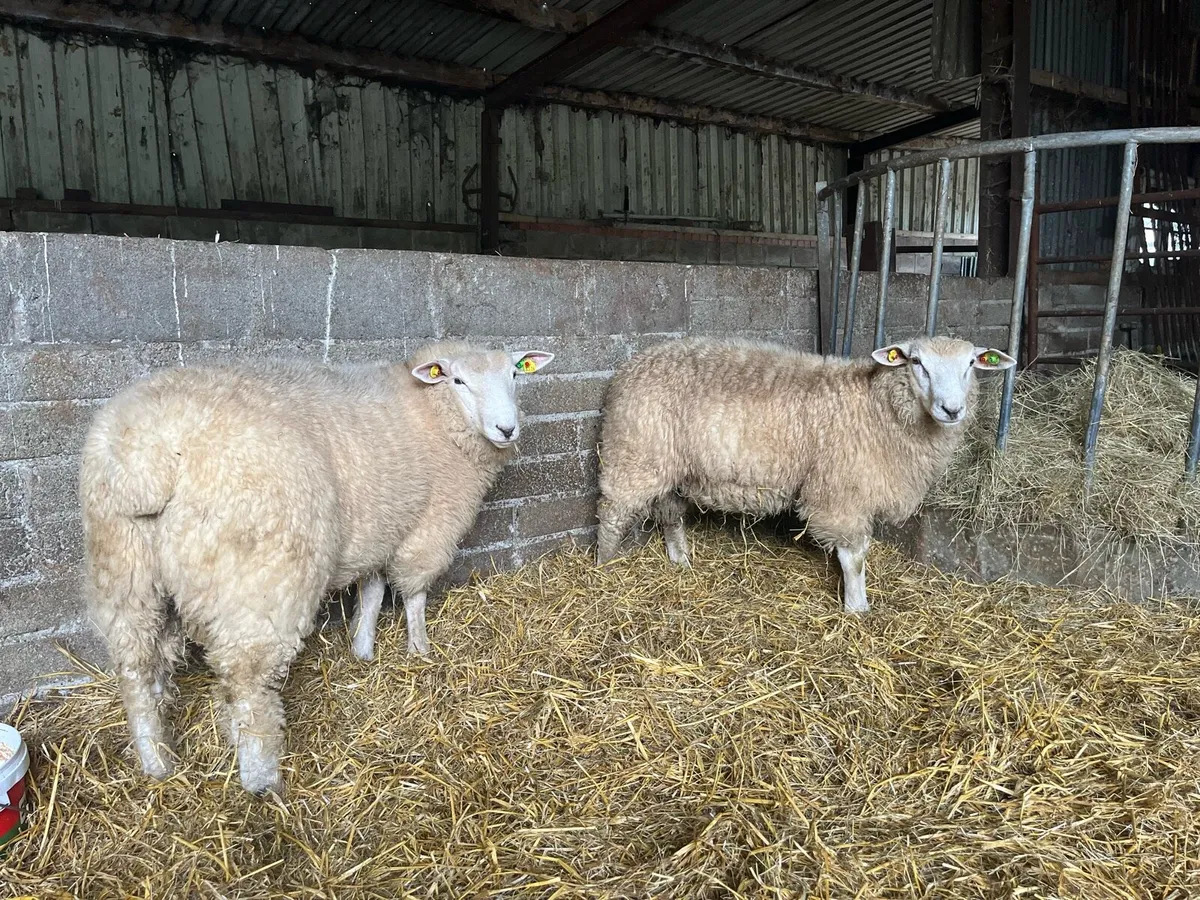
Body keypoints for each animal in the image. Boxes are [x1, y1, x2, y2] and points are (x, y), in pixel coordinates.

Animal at [80, 341, 554, 796]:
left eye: (514, 374)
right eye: (458, 380)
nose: (507, 429)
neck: (432, 412)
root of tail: (148, 453)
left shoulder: (376, 529)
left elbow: (372, 590)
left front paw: (363, 648)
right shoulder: (429, 526)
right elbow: (412, 593)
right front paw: (419, 648)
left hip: (125, 569)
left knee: (138, 670)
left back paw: (158, 762)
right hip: (261, 577)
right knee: (248, 683)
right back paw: (262, 780)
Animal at [595, 335, 1014, 613]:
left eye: (971, 364)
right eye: (916, 363)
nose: (952, 409)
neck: (877, 407)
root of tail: (633, 363)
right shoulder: (841, 492)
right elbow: (854, 557)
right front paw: (857, 609)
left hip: (671, 465)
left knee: (669, 513)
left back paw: (680, 561)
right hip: (633, 454)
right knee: (612, 514)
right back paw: (603, 567)